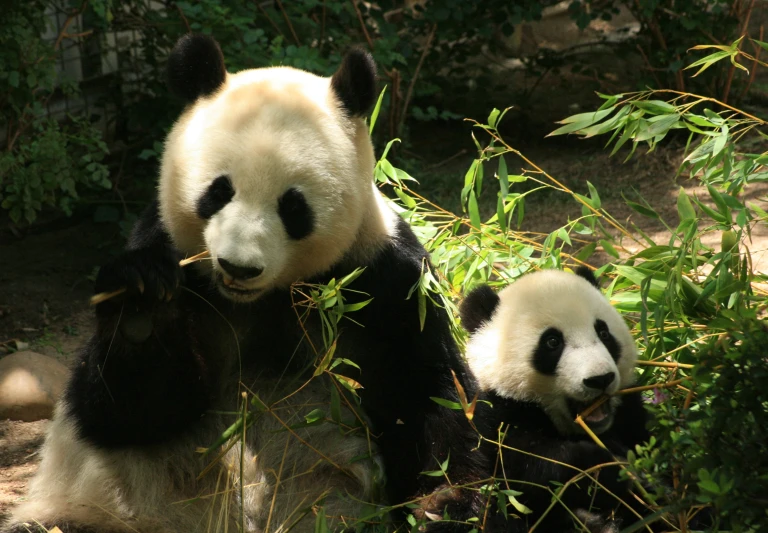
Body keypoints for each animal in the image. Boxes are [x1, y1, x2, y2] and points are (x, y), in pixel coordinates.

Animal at [6, 34, 484, 532]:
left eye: (293, 207)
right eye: (218, 192)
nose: (239, 267)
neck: (262, 297)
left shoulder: (384, 279)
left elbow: (428, 394)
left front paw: (446, 504)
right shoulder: (169, 250)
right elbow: (132, 412)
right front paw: (140, 304)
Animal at [460, 268, 652, 532]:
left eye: (604, 333)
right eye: (552, 342)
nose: (600, 379)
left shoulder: (629, 414)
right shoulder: (494, 418)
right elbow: (528, 471)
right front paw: (610, 471)